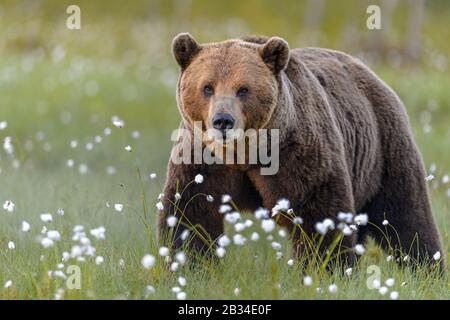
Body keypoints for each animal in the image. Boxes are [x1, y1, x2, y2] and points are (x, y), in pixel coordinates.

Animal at [157, 32, 442, 268]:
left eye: (243, 89)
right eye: (207, 87)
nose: (223, 121)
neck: (245, 154)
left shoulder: (296, 153)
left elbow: (319, 212)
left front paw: (327, 268)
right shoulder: (202, 159)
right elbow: (191, 211)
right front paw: (190, 265)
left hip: (383, 150)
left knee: (406, 216)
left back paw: (427, 267)